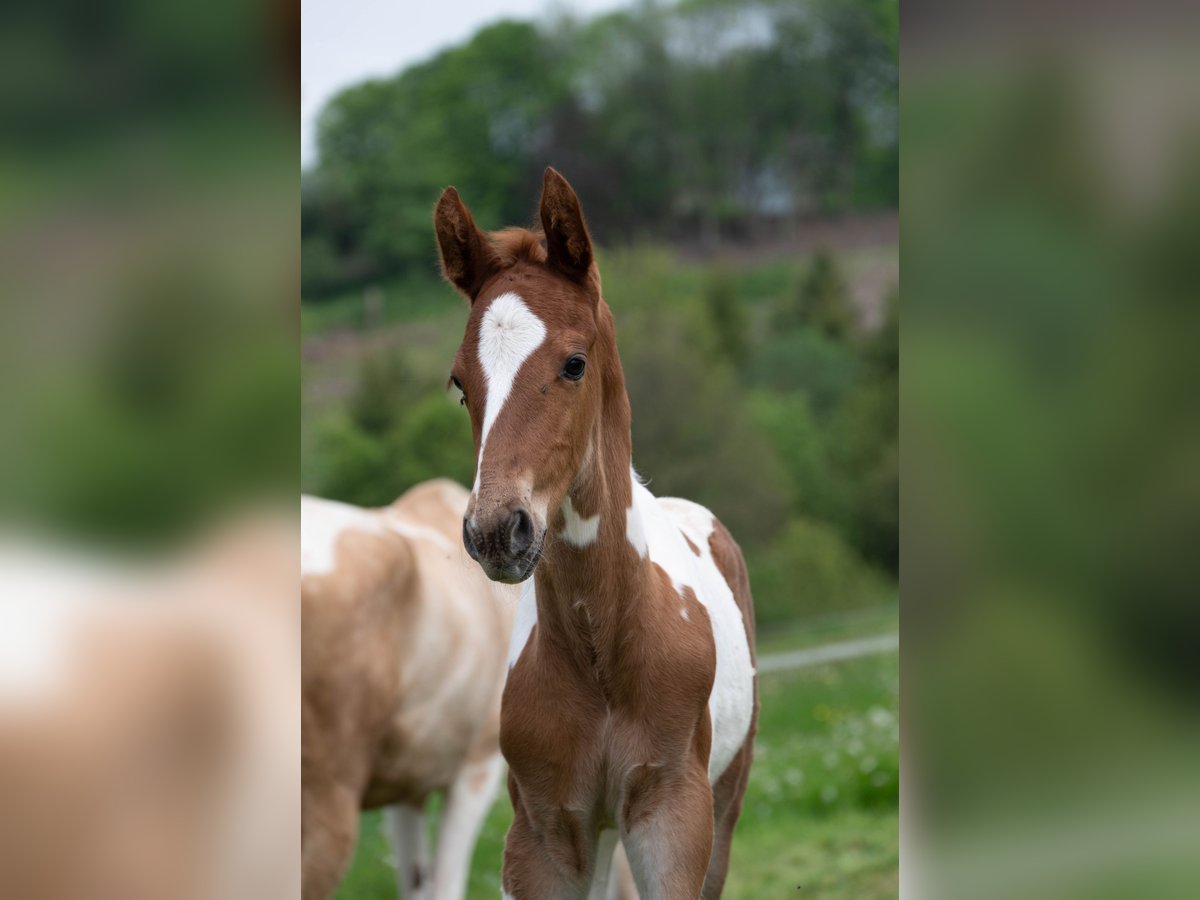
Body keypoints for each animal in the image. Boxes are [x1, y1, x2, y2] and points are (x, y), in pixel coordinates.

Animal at [434, 165, 758, 897]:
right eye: (460, 384)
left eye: (574, 364)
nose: (495, 530)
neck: (599, 651)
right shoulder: (544, 834)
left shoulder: (673, 817)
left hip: (726, 799)